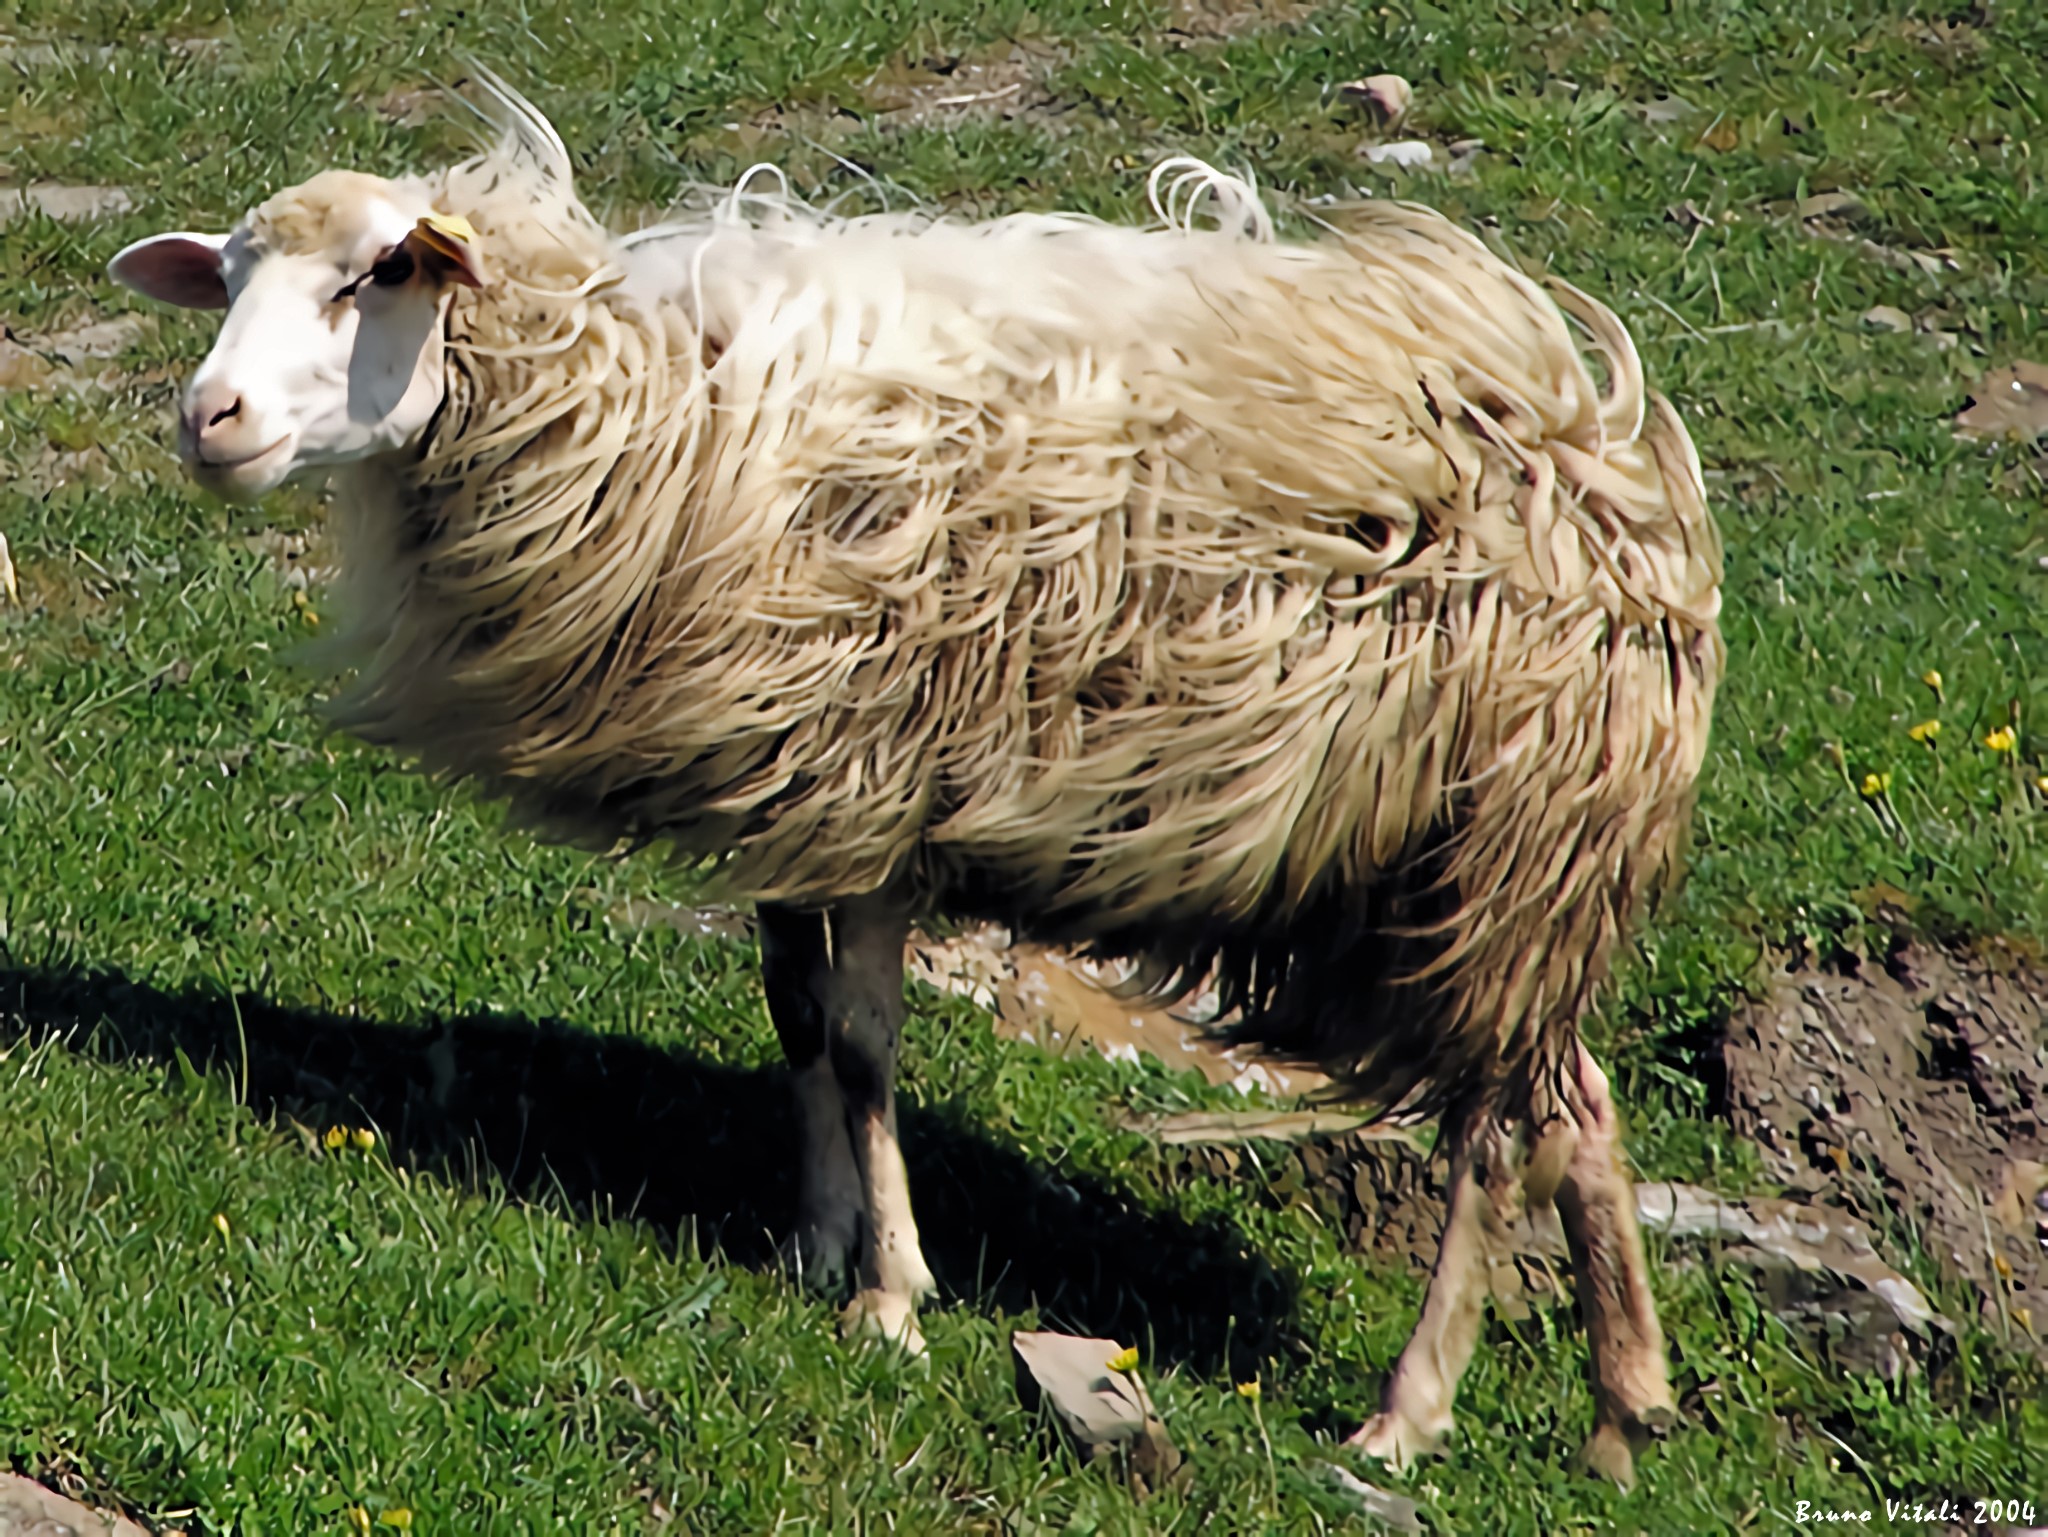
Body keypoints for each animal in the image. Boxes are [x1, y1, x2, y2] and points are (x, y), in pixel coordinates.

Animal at [108, 70, 1724, 1484]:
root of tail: (1609, 446)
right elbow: (796, 1017)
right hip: (1452, 877)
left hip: (1502, 846)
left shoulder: (878, 783)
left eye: (380, 274)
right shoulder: (782, 779)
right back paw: (1621, 1415)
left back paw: (1409, 1411)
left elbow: (868, 1044)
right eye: (231, 275)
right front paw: (814, 1238)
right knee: (1576, 1108)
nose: (207, 420)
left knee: (1496, 1136)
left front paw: (889, 1295)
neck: (652, 416)